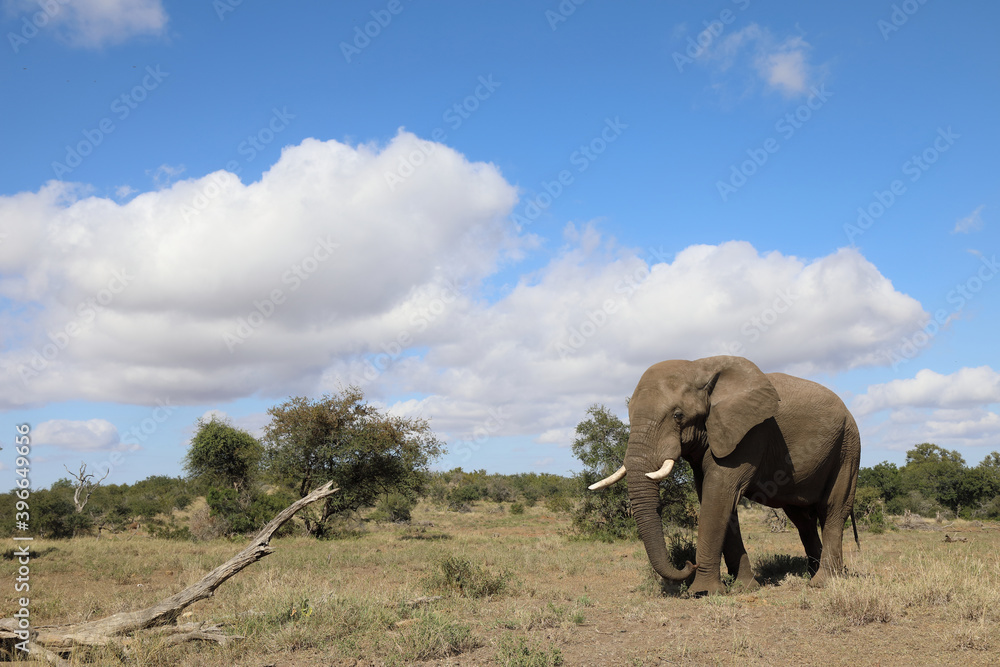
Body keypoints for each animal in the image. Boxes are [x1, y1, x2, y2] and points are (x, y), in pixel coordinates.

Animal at [590, 355, 860, 595]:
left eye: (678, 416)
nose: (688, 564)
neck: (700, 368)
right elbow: (716, 498)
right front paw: (745, 587)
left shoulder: (751, 433)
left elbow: (718, 495)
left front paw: (702, 592)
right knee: (802, 518)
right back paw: (814, 574)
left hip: (848, 447)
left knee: (833, 510)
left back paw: (823, 582)